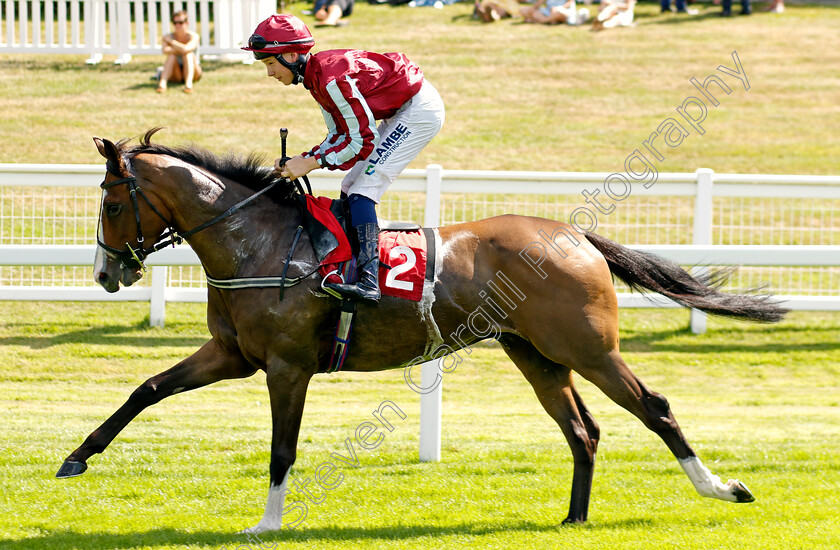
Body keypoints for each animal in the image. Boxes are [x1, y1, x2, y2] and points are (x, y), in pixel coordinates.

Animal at [55, 129, 784, 536]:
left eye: (112, 202)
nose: (105, 274)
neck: (259, 242)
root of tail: (574, 235)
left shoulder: (288, 366)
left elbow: (282, 449)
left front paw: (265, 522)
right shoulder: (232, 354)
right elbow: (147, 389)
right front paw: (76, 458)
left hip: (589, 348)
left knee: (653, 408)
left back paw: (721, 488)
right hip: (535, 354)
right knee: (583, 429)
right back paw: (574, 519)